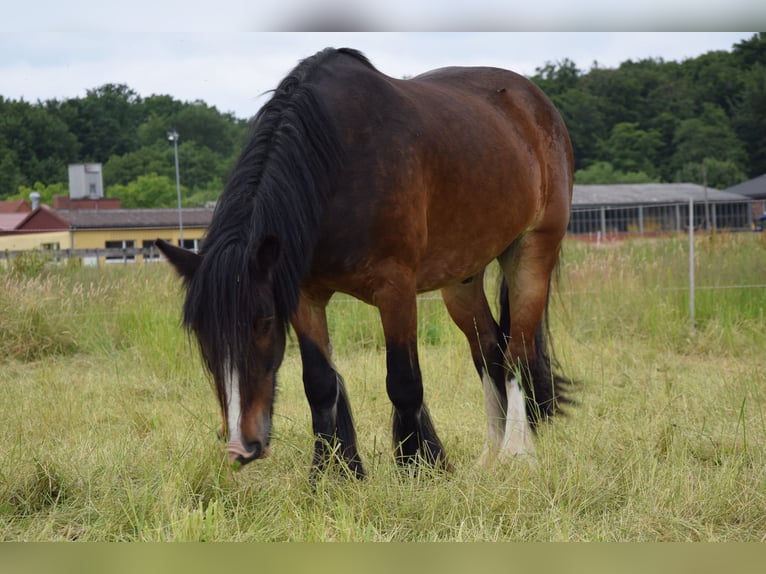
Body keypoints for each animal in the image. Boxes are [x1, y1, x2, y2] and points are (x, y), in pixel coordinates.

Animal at [157, 47, 575, 478]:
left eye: (265, 322)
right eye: (202, 334)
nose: (241, 446)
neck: (337, 163)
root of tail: (536, 104)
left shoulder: (396, 289)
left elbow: (403, 382)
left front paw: (416, 467)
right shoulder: (305, 296)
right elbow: (320, 383)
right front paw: (332, 472)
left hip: (533, 252)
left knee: (517, 354)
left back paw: (516, 454)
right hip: (462, 278)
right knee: (489, 349)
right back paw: (488, 457)